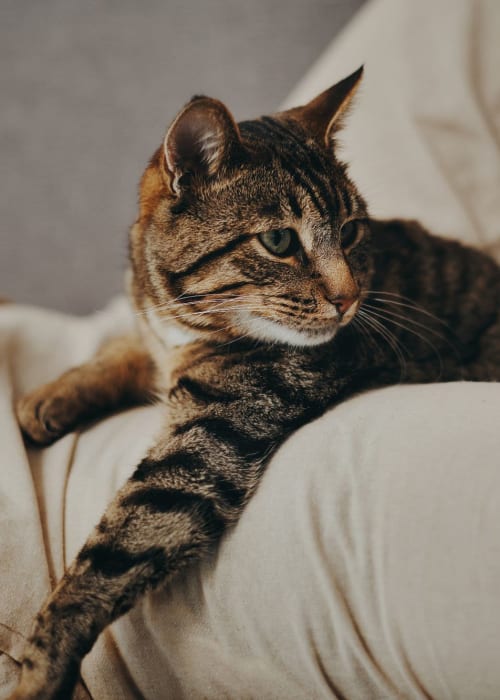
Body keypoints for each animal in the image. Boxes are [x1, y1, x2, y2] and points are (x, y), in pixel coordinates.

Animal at [7, 67, 500, 700]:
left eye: (350, 231)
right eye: (280, 242)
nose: (349, 298)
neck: (187, 321)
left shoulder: (210, 439)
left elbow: (112, 553)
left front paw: (39, 670)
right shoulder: (155, 337)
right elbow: (123, 347)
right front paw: (49, 396)